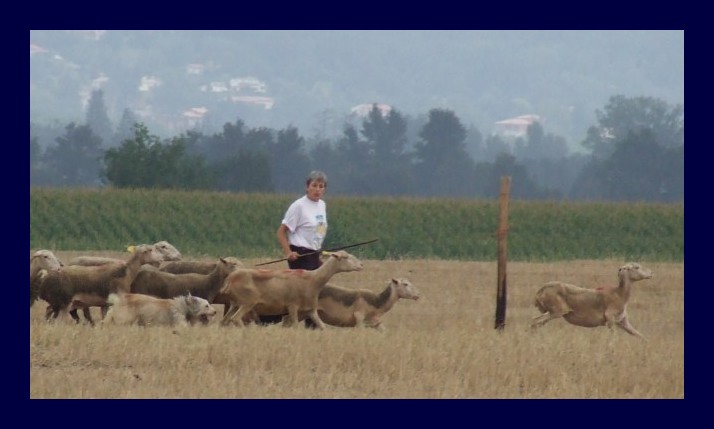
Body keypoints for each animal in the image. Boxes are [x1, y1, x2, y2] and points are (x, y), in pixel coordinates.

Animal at [218, 251, 364, 328]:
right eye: (345, 257)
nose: (362, 265)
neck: (313, 279)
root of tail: (230, 278)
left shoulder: (311, 310)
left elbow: (323, 327)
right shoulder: (292, 306)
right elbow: (294, 326)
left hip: (234, 304)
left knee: (224, 321)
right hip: (247, 302)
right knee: (235, 319)